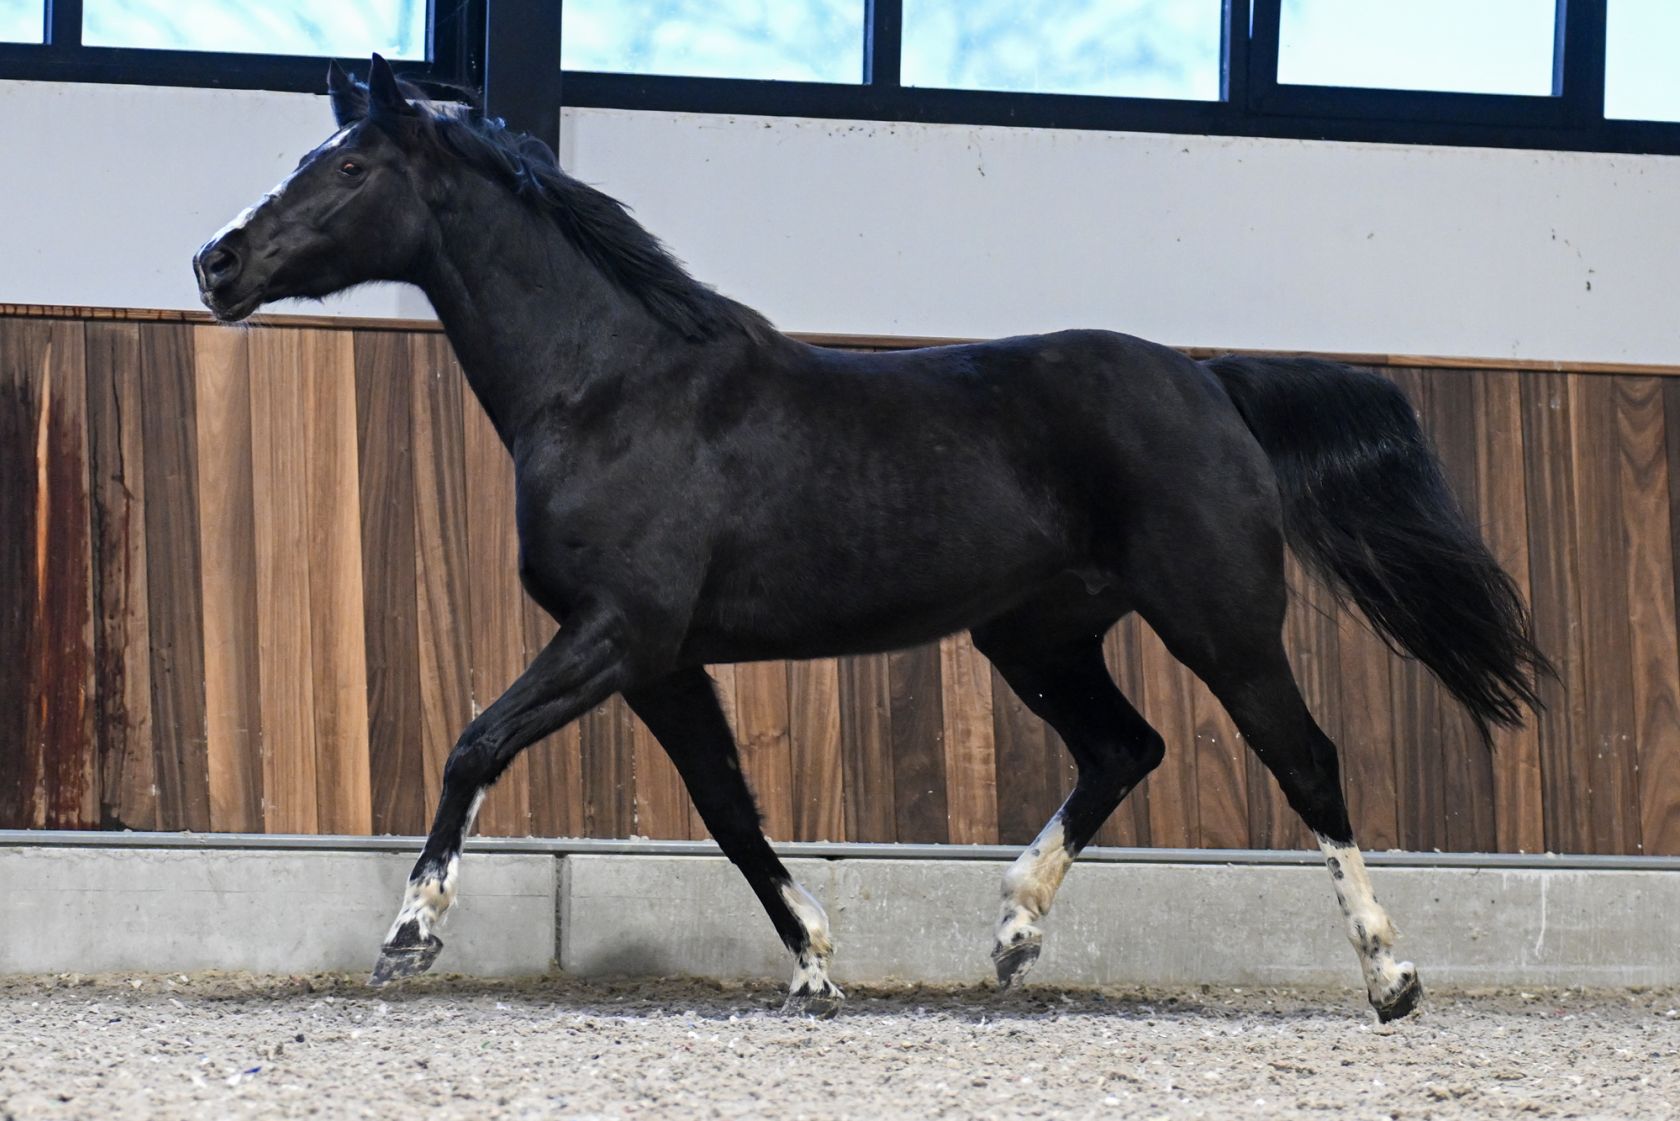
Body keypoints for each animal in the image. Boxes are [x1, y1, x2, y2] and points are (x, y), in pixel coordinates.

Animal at [193, 55, 1548, 1022]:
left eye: (352, 169)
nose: (217, 260)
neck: (611, 386)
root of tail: (1212, 383)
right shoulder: (661, 659)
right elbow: (728, 807)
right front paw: (816, 964)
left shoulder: (617, 634)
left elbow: (476, 740)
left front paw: (409, 934)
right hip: (1037, 636)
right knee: (1126, 746)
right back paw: (1011, 933)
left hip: (1219, 620)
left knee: (1305, 761)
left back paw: (1390, 977)